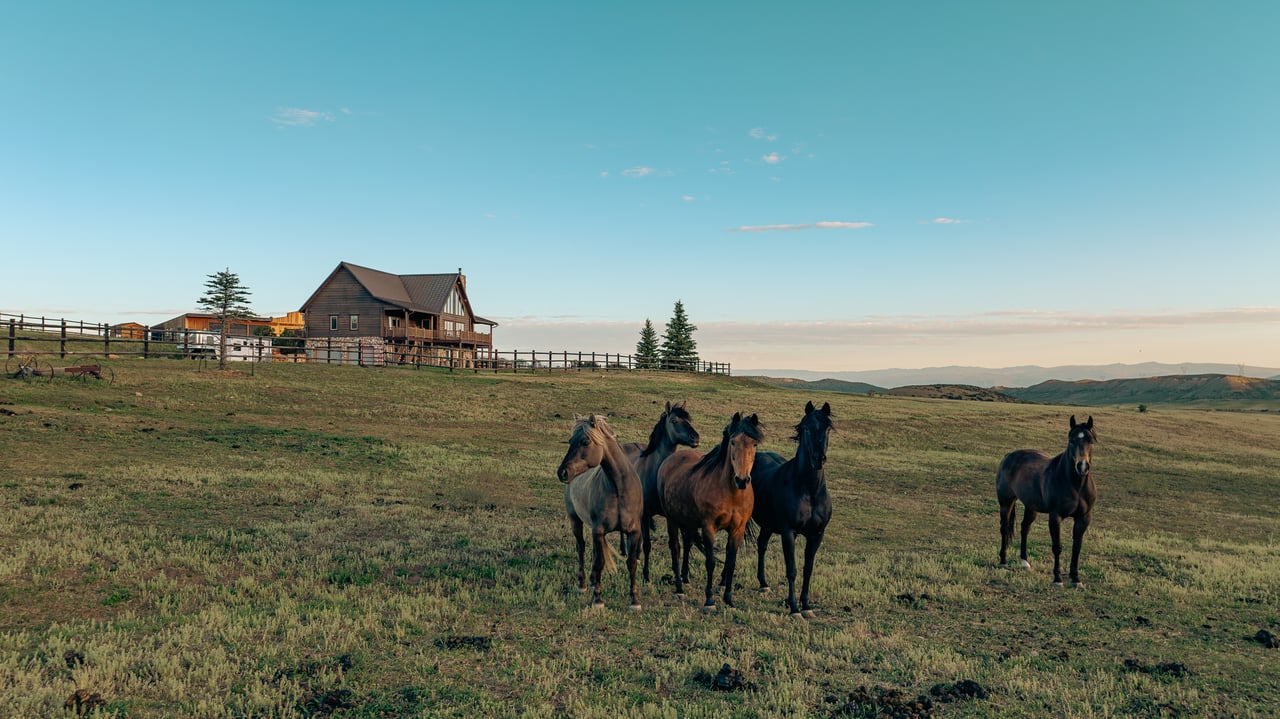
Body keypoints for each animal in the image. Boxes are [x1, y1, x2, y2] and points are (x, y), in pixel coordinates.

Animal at [556, 414, 644, 610]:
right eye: (570, 441)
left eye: (585, 441)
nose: (562, 472)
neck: (619, 488)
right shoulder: (599, 531)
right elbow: (599, 563)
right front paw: (598, 599)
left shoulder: (634, 532)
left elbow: (631, 563)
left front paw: (634, 601)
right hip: (575, 521)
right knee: (581, 548)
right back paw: (582, 585)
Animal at [618, 401, 701, 583]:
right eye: (674, 421)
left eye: (689, 419)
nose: (696, 438)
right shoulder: (646, 514)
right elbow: (648, 545)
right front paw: (646, 575)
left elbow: (681, 544)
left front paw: (683, 575)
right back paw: (624, 550)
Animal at [658, 411, 763, 610]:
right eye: (733, 442)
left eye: (754, 444)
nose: (742, 480)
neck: (731, 493)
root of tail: (670, 460)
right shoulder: (709, 527)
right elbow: (710, 562)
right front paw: (709, 600)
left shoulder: (737, 529)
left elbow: (731, 562)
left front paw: (728, 598)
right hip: (671, 519)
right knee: (675, 548)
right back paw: (679, 587)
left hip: (689, 521)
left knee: (687, 543)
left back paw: (685, 578)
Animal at [751, 400, 834, 618]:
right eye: (806, 428)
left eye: (828, 428)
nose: (818, 458)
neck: (809, 490)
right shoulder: (789, 533)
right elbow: (792, 570)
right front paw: (795, 608)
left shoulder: (816, 535)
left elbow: (808, 569)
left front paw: (806, 606)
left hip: (768, 524)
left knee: (761, 544)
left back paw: (763, 584)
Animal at [997, 415, 1098, 587]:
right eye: (1071, 440)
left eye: (1090, 441)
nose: (1082, 466)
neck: (1075, 485)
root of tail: (1009, 455)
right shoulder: (1055, 516)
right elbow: (1057, 547)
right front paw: (1057, 579)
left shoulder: (1083, 518)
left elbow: (1077, 547)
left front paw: (1076, 579)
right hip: (1006, 502)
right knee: (1004, 528)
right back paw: (1003, 561)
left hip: (1031, 507)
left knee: (1025, 528)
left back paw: (1025, 562)